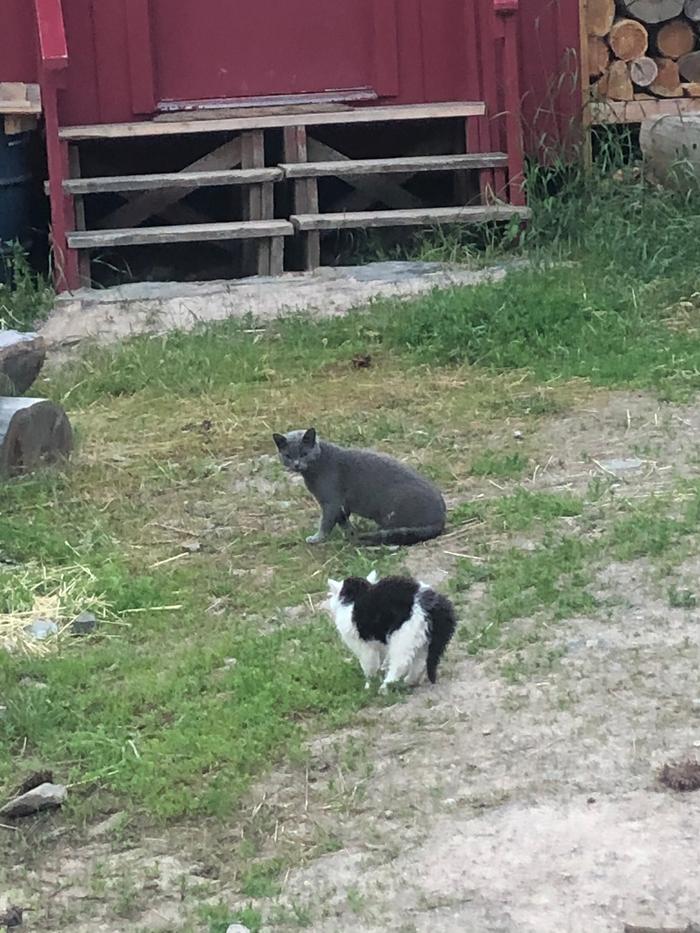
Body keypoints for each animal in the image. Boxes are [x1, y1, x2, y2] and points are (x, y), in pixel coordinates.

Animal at [270, 426, 446, 544]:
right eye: (288, 456)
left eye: (304, 454)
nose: (296, 464)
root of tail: (441, 518)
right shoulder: (340, 504)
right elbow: (342, 520)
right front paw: (348, 533)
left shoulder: (331, 501)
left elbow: (326, 522)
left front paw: (317, 538)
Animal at [326, 568, 456, 692]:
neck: (354, 597)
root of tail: (434, 604)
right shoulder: (380, 641)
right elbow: (383, 658)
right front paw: (381, 670)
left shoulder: (364, 646)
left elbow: (370, 666)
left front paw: (369, 684)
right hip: (423, 642)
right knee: (420, 663)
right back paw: (409, 681)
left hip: (403, 638)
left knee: (400, 664)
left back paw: (386, 687)